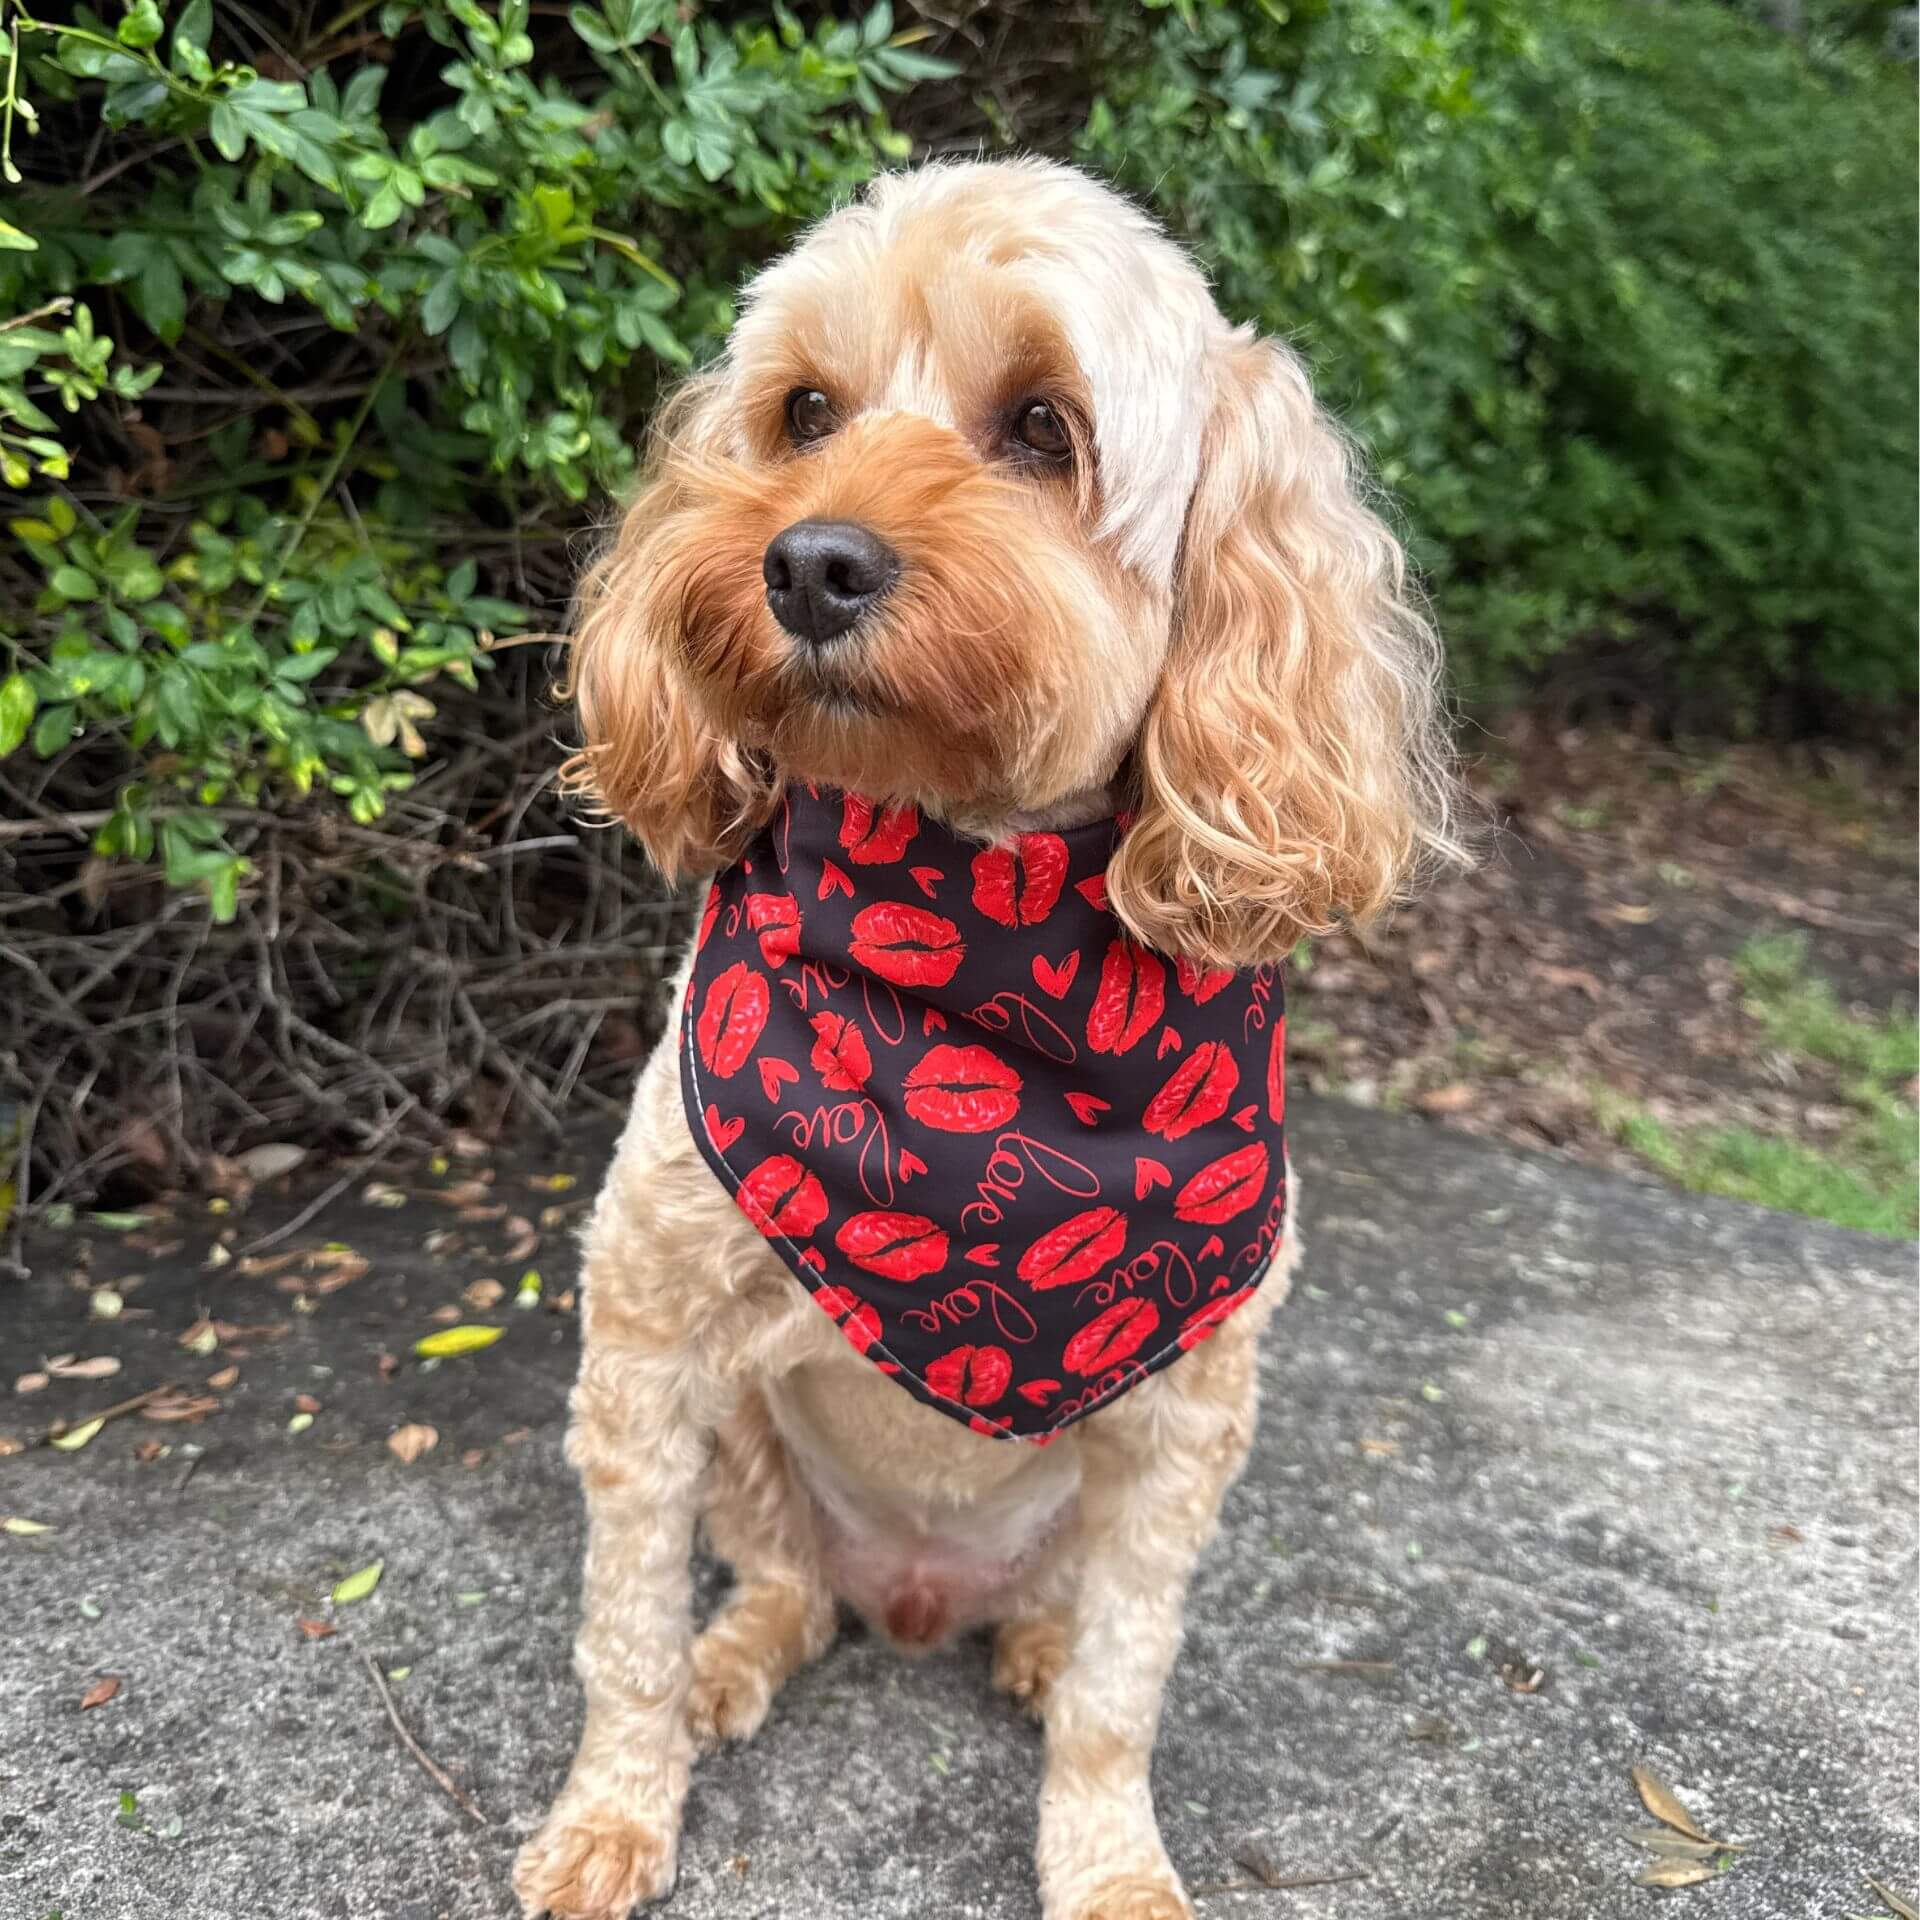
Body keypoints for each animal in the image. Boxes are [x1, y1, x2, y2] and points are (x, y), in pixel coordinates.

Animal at [510, 153, 1451, 1920]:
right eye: (804, 410)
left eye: (1041, 426)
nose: (808, 563)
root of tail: (919, 1590)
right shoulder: (649, 1343)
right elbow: (623, 1632)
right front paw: (612, 1816)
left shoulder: (1181, 1423)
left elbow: (1123, 1692)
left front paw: (1112, 1865)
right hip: (757, 1446)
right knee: (788, 1590)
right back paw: (741, 1656)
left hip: (1072, 1500)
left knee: (1053, 1621)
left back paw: (1022, 1649)